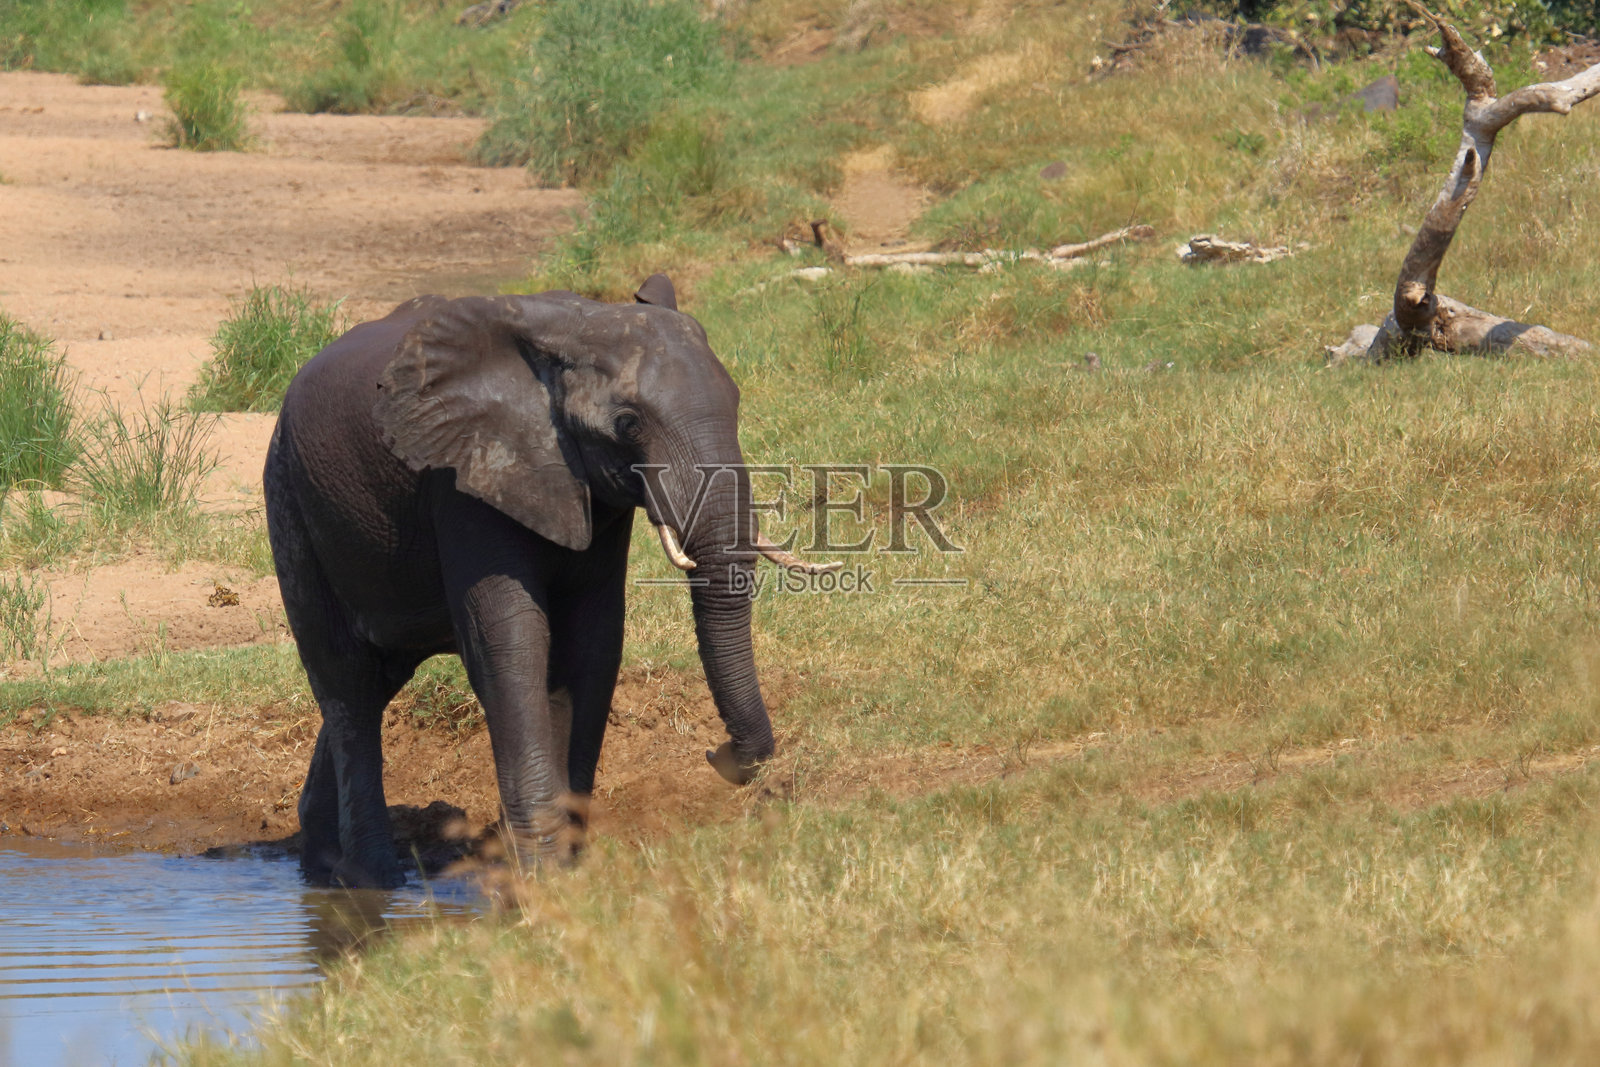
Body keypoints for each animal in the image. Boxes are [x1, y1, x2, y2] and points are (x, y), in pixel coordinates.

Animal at [263, 275, 834, 888]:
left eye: (737, 403)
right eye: (628, 424)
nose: (718, 753)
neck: (573, 328)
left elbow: (592, 643)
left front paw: (570, 865)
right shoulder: (464, 474)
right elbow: (509, 644)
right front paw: (537, 871)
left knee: (379, 675)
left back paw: (324, 867)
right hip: (290, 500)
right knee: (348, 685)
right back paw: (373, 880)